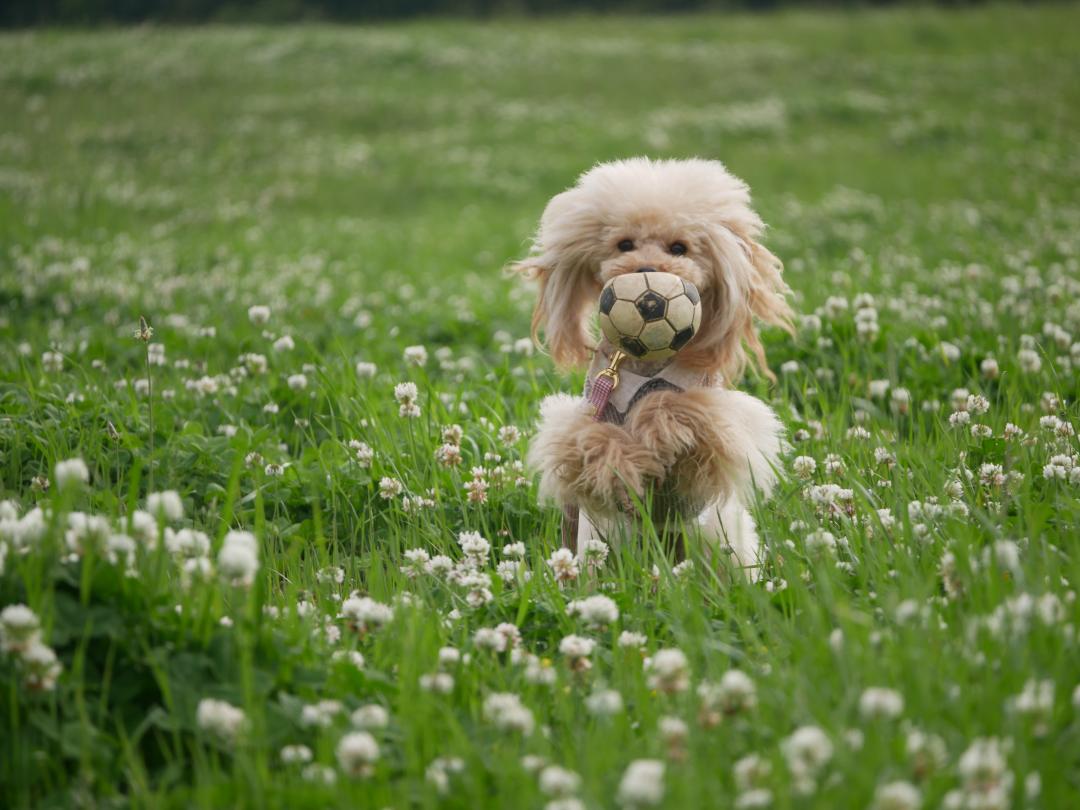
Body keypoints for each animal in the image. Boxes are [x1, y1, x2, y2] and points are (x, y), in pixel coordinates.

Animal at [514, 158, 794, 574]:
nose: (646, 270)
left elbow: (680, 405)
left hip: (717, 536)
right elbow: (589, 439)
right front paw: (623, 468)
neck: (645, 365)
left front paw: (655, 430)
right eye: (624, 244)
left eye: (679, 248)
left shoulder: (715, 422)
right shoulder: (589, 412)